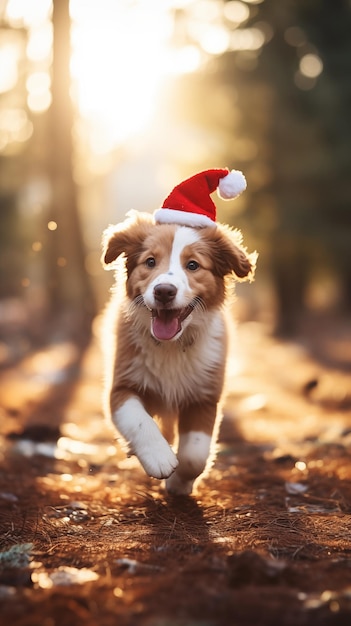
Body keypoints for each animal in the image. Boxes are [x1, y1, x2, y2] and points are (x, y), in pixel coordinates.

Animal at [100, 168, 258, 494]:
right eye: (150, 261)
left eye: (193, 265)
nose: (163, 291)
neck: (171, 345)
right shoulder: (121, 386)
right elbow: (139, 421)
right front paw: (159, 458)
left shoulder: (204, 396)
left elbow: (195, 454)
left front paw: (178, 483)